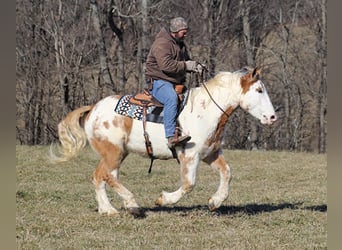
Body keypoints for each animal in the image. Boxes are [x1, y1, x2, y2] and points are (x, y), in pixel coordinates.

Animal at [52, 66, 278, 217]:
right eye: (259, 90)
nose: (272, 117)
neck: (206, 111)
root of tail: (93, 109)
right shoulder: (189, 155)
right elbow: (189, 184)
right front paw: (164, 199)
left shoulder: (211, 153)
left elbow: (227, 173)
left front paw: (215, 201)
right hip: (113, 152)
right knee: (104, 176)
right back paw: (131, 203)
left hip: (117, 154)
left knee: (102, 177)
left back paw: (109, 209)